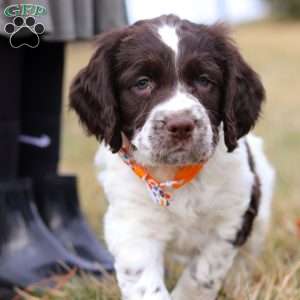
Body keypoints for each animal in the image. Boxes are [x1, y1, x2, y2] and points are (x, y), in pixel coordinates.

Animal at [69, 14, 274, 300]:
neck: (174, 176)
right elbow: (145, 285)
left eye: (204, 81)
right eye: (142, 83)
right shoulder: (132, 226)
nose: (181, 125)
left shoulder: (231, 219)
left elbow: (203, 273)